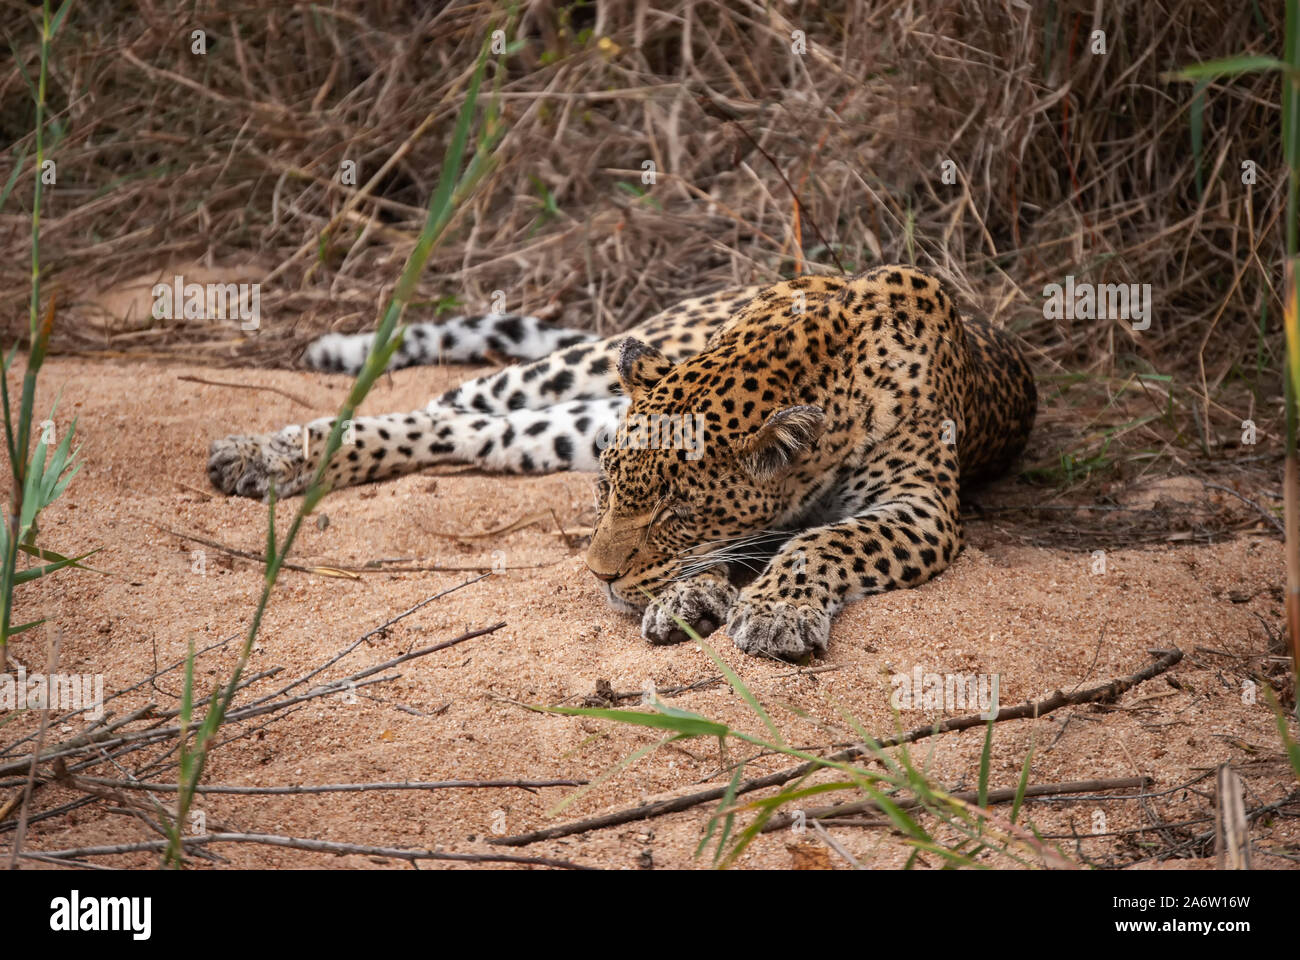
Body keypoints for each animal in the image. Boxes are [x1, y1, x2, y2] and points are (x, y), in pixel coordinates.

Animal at [207, 264, 1036, 660]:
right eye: (607, 489)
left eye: (679, 510)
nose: (598, 578)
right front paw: (700, 597)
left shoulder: (920, 508)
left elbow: (821, 540)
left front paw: (758, 607)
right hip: (594, 363)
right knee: (451, 400)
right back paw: (265, 453)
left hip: (563, 426)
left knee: (471, 431)